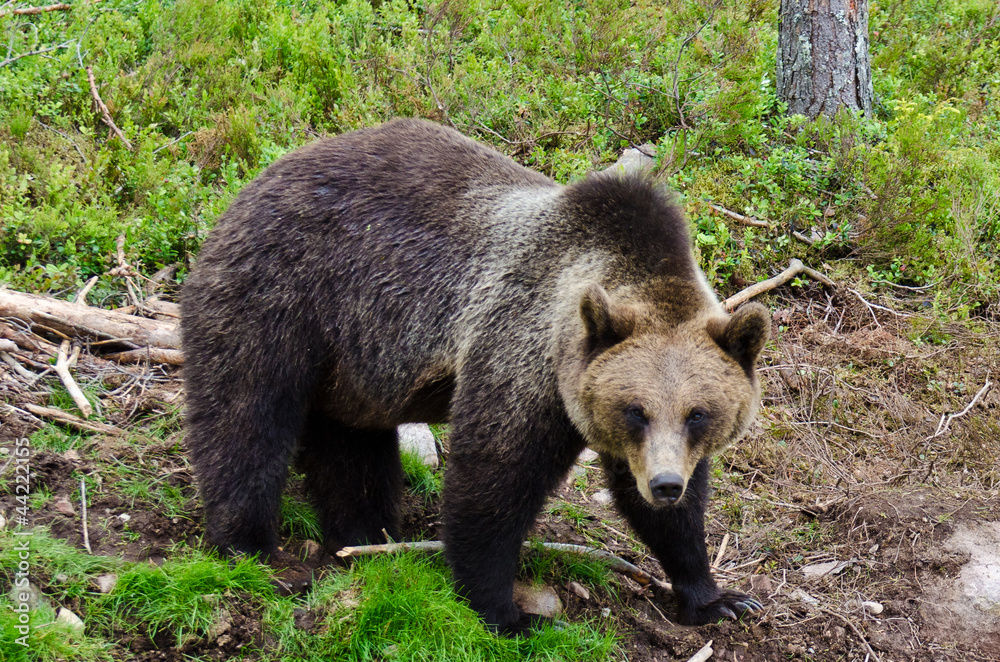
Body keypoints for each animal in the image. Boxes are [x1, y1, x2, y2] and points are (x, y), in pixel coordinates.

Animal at [181, 118, 770, 635]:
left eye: (698, 413)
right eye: (635, 410)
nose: (666, 484)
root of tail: (253, 182)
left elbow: (668, 513)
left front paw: (716, 596)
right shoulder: (521, 353)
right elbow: (493, 479)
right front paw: (507, 614)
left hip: (351, 365)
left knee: (350, 448)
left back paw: (366, 536)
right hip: (281, 294)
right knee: (246, 417)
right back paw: (250, 547)